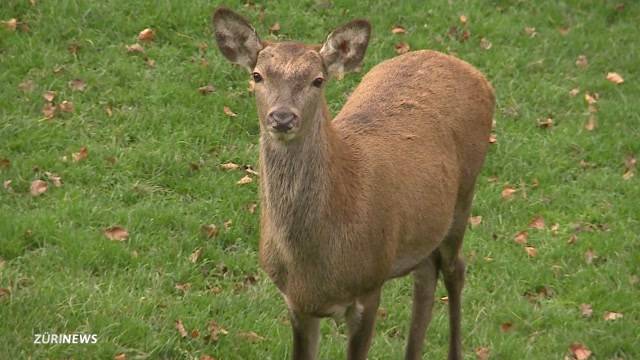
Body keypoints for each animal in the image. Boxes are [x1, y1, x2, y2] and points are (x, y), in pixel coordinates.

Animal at [212, 7, 498, 358]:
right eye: (257, 75)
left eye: (317, 80)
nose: (282, 117)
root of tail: (474, 73)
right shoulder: (297, 303)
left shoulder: (370, 284)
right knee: (426, 275)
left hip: (465, 194)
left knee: (455, 270)